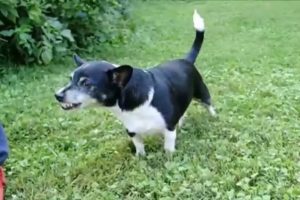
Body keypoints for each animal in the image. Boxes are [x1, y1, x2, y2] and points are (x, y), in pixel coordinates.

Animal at [54, 10, 216, 155]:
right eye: (70, 79)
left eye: (86, 84)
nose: (57, 95)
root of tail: (186, 60)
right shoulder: (132, 131)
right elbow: (139, 147)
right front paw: (140, 159)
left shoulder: (169, 129)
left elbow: (168, 147)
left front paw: (169, 158)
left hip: (202, 93)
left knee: (208, 104)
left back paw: (214, 116)